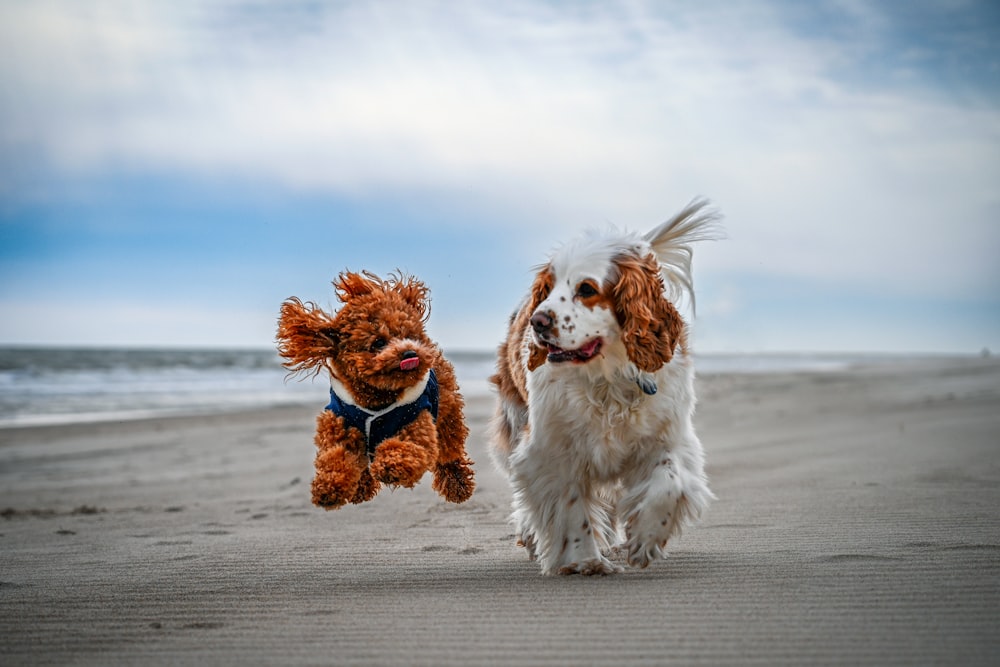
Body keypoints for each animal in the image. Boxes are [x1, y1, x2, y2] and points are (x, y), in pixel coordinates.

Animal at [490, 200, 720, 576]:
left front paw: (645, 539)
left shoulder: (667, 438)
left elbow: (669, 483)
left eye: (586, 289)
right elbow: (571, 507)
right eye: (548, 289)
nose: (538, 322)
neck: (607, 378)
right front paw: (585, 560)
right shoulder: (551, 450)